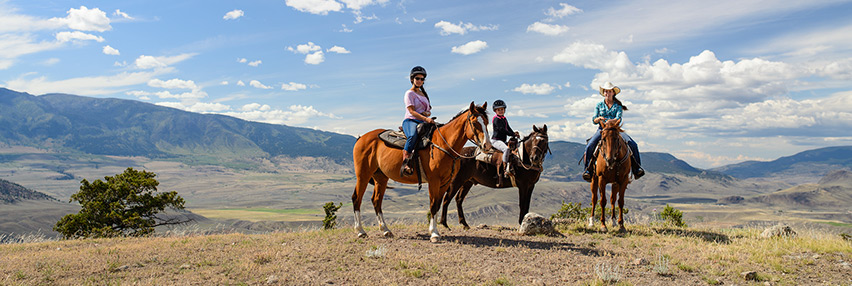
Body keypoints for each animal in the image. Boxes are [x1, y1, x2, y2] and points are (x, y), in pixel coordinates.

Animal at [350, 101, 490, 242]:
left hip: (381, 177)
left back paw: (386, 230)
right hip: (363, 175)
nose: (487, 146)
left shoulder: (446, 182)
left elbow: (438, 204)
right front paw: (434, 234)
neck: (443, 144)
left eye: (487, 122)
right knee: (357, 198)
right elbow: (433, 204)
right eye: (475, 123)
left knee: (376, 200)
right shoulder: (434, 181)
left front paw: (435, 232)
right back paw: (360, 231)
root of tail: (361, 138)